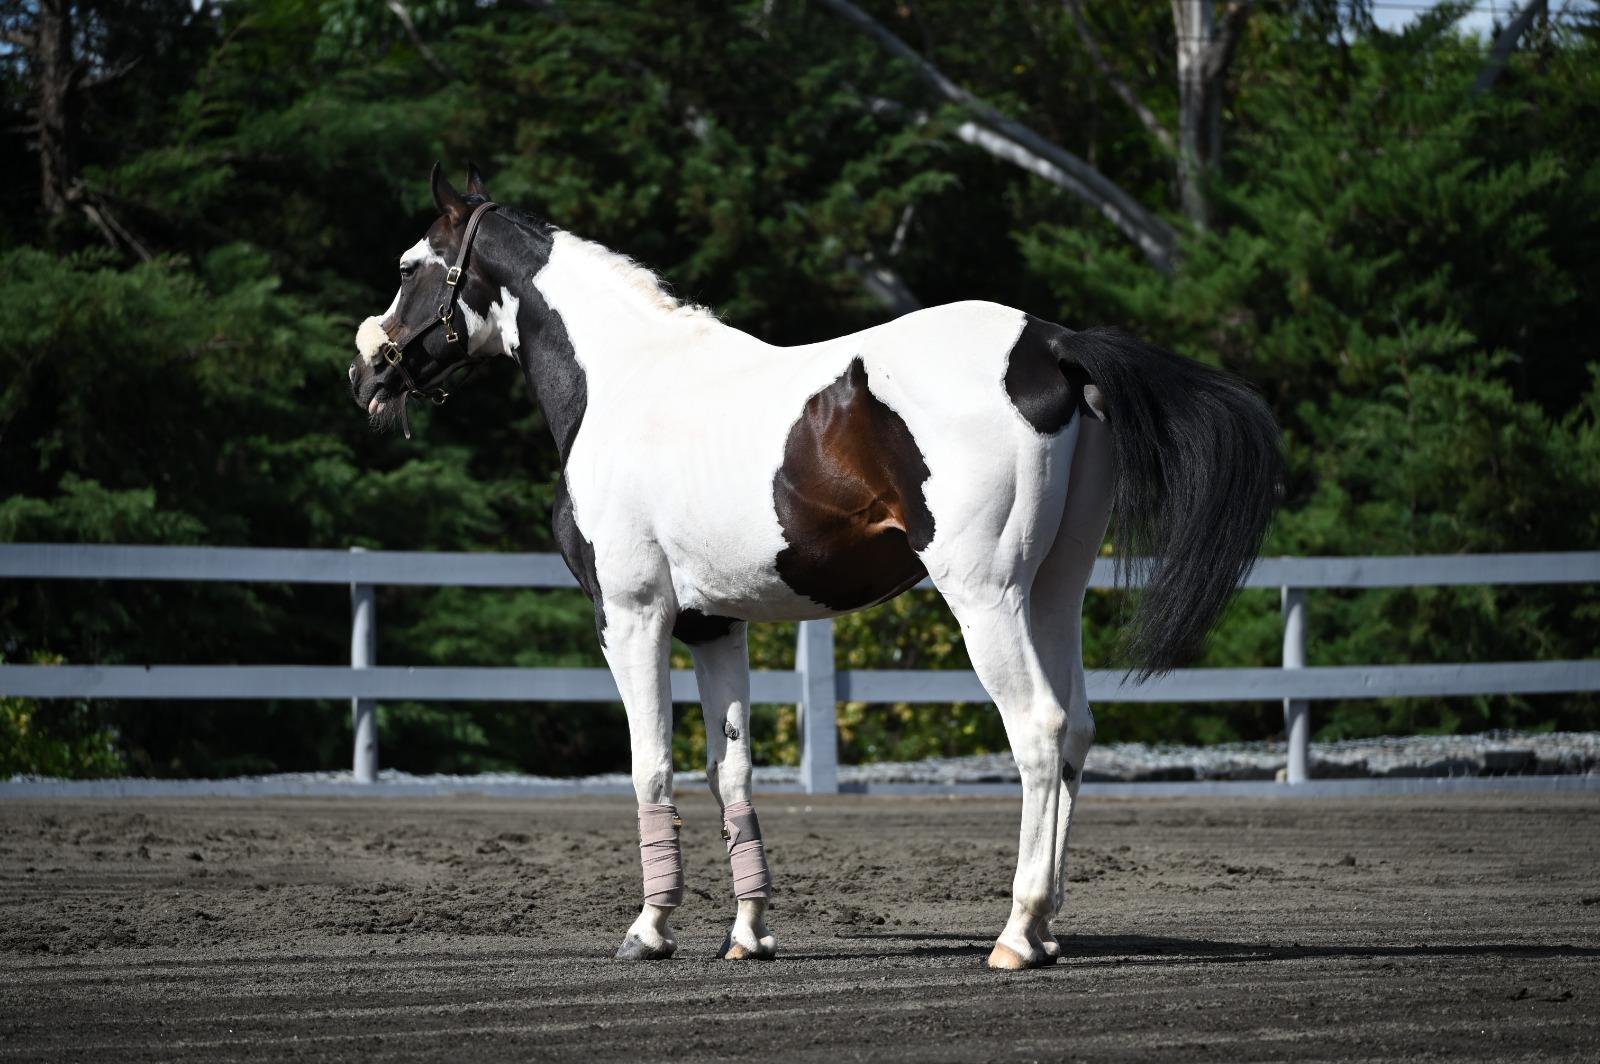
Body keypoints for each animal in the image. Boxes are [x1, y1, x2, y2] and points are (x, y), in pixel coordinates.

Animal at [349, 165, 1283, 969]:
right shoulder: (714, 626)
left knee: (1040, 731)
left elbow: (651, 764)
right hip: (1052, 592)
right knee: (1080, 729)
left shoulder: (633, 614)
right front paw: (749, 933)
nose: (366, 372)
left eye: (407, 267)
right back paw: (1048, 933)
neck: (624, 382)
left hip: (986, 597)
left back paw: (1018, 934)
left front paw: (649, 931)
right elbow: (729, 769)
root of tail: (1049, 345)